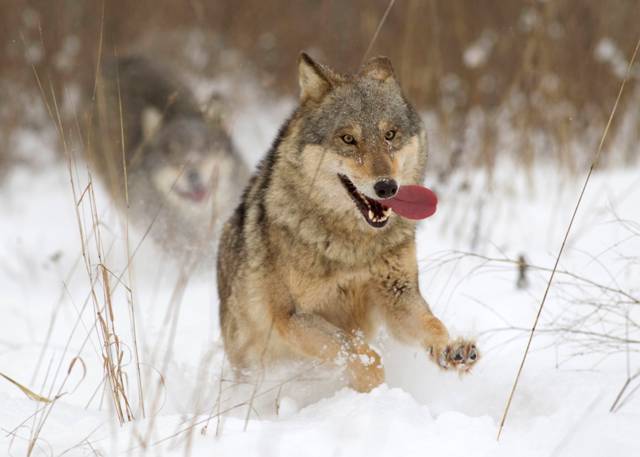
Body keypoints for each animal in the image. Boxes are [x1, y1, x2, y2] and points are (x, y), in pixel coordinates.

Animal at [218, 51, 478, 390]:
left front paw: (451, 350)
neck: (353, 248)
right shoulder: (292, 316)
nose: (387, 187)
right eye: (348, 139)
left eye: (390, 135)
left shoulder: (398, 297)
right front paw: (372, 387)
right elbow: (358, 352)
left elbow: (432, 324)